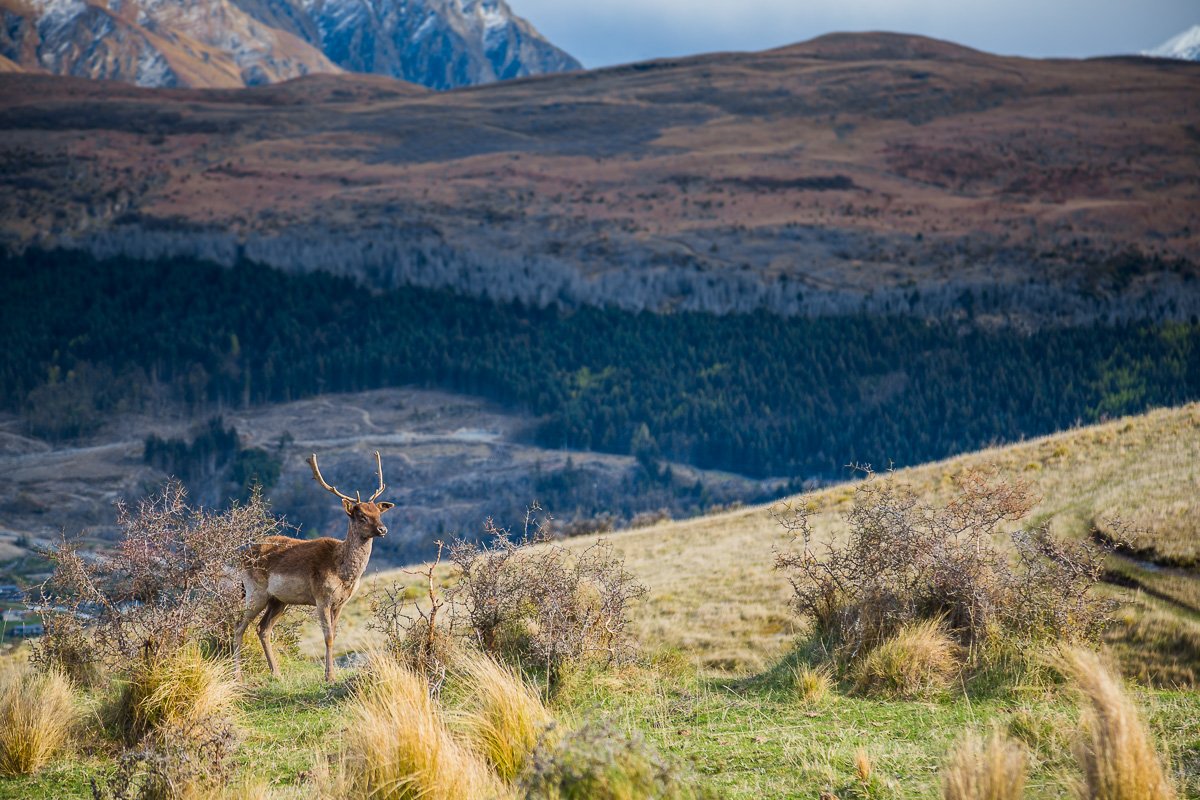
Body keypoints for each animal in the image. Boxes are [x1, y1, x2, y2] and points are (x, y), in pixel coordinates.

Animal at [228, 450, 388, 681]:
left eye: (379, 512)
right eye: (361, 516)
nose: (383, 529)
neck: (344, 574)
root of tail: (241, 557)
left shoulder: (341, 602)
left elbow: (335, 634)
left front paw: (330, 674)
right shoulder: (322, 597)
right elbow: (328, 636)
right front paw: (329, 676)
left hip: (278, 600)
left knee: (263, 629)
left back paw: (276, 673)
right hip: (254, 592)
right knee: (239, 625)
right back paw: (237, 675)